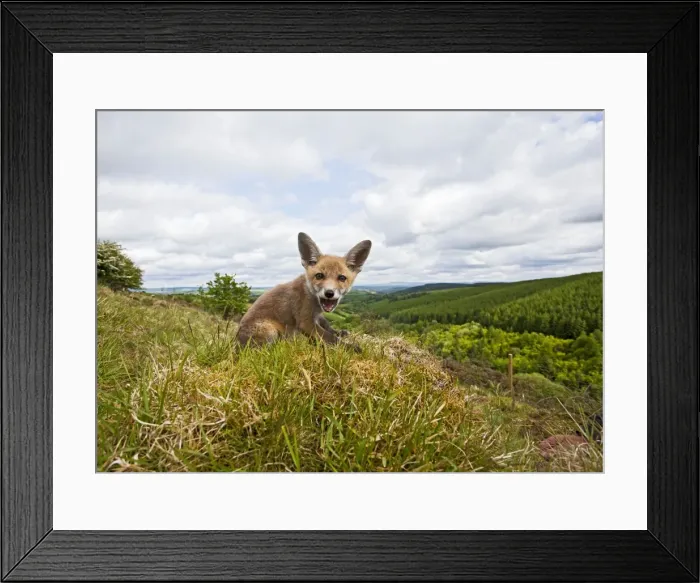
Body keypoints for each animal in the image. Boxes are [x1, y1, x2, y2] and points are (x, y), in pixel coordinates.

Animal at [235, 232, 372, 348]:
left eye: (342, 278)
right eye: (319, 276)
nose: (329, 293)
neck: (311, 296)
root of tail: (236, 342)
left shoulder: (317, 316)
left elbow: (328, 327)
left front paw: (339, 332)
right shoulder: (305, 321)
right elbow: (329, 337)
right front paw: (350, 347)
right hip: (270, 331)